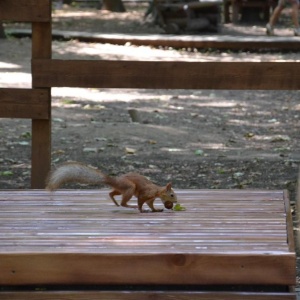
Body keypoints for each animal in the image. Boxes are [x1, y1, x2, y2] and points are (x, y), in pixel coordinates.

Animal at [45, 162, 177, 213]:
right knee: (123, 202)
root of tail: (114, 180)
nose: (175, 202)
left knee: (111, 193)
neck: (157, 191)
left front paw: (156, 209)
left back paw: (115, 203)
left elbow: (151, 205)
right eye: (172, 195)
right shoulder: (146, 194)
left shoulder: (150, 199)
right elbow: (141, 202)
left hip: (121, 189)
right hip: (130, 187)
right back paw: (129, 206)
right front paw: (141, 209)